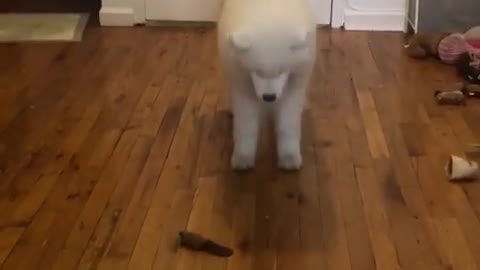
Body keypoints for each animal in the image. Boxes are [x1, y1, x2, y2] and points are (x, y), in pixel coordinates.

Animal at [217, 0, 316, 171]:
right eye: (257, 71)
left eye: (282, 70)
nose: (269, 97)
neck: (268, 8)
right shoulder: (242, 84)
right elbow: (246, 124)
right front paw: (242, 158)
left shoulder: (294, 85)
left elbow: (288, 124)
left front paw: (289, 158)